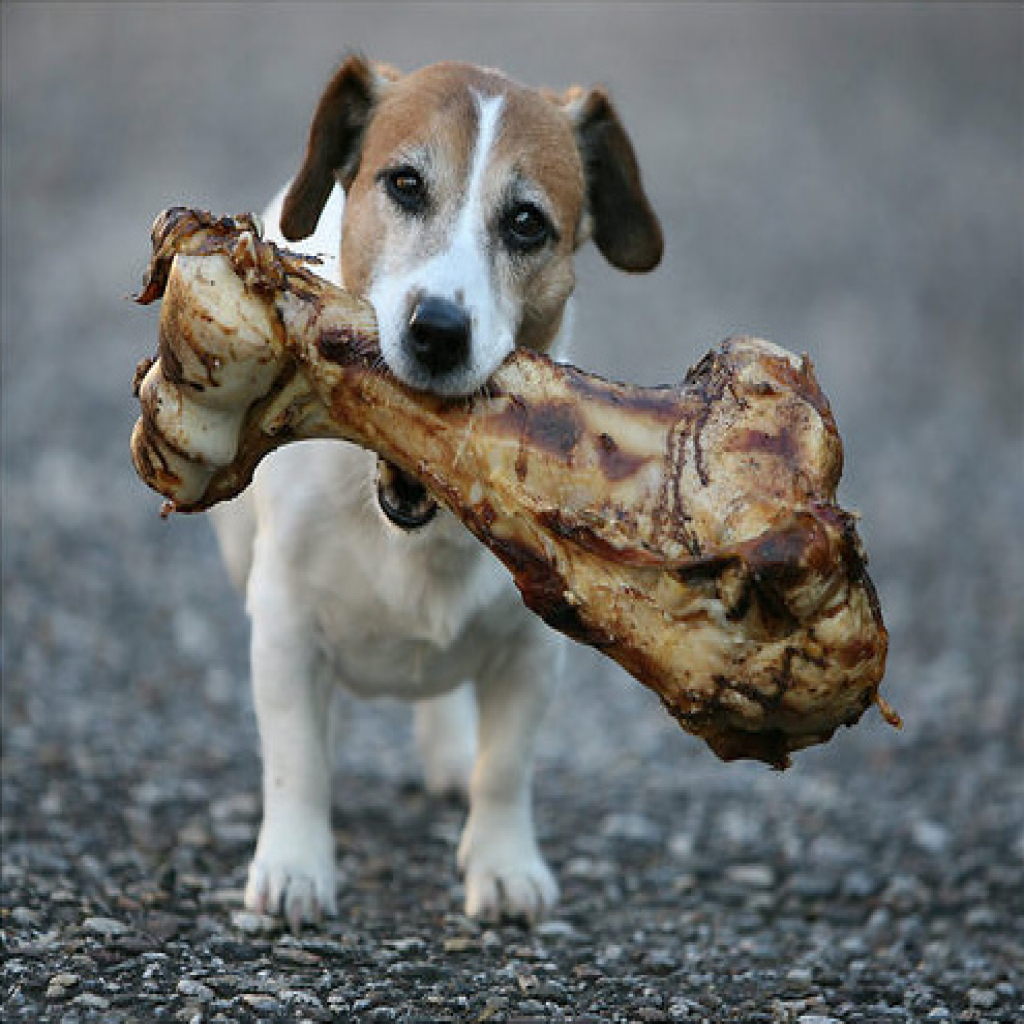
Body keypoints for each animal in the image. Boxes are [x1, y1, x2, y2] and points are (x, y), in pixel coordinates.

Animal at [209, 59, 663, 933]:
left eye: (526, 222)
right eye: (406, 184)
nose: (439, 330)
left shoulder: (533, 650)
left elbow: (505, 769)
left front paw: (504, 867)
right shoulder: (282, 622)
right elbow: (294, 760)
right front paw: (295, 866)